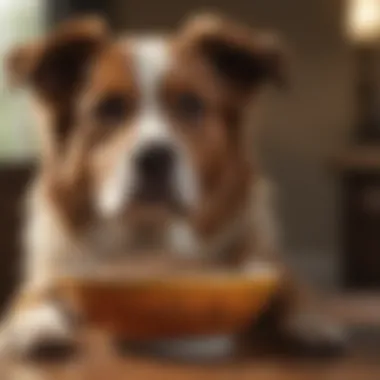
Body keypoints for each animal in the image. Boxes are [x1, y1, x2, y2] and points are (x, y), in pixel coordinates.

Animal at [0, 13, 344, 358]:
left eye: (192, 104)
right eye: (109, 107)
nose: (155, 158)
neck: (152, 241)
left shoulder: (262, 257)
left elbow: (291, 283)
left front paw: (316, 318)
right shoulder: (51, 271)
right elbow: (32, 296)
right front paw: (34, 324)